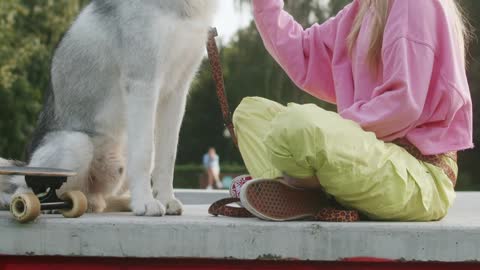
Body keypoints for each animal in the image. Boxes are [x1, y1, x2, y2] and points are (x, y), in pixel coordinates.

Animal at [0, 0, 218, 215]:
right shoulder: (143, 82)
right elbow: (144, 153)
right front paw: (145, 202)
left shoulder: (177, 91)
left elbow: (167, 156)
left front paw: (166, 199)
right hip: (75, 144)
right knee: (22, 190)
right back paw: (33, 205)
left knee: (94, 198)